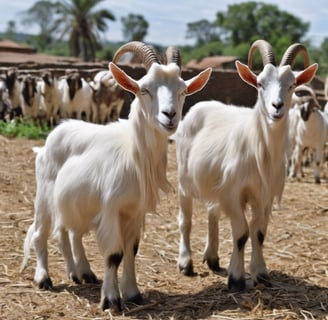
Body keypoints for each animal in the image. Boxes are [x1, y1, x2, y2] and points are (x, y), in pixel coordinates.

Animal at [20, 40, 211, 312]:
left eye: (183, 90)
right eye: (144, 90)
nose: (170, 115)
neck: (133, 154)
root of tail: (51, 138)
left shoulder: (134, 212)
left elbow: (131, 250)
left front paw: (132, 293)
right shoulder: (110, 209)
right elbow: (114, 254)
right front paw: (111, 299)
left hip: (73, 202)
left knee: (67, 233)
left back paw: (81, 273)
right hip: (45, 196)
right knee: (39, 233)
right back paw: (44, 278)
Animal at [176, 39, 316, 290]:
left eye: (291, 85)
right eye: (260, 83)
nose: (277, 106)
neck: (260, 150)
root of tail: (199, 106)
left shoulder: (265, 196)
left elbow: (258, 233)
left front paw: (261, 273)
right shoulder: (233, 194)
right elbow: (241, 233)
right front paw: (236, 278)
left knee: (212, 213)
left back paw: (212, 258)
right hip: (184, 180)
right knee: (186, 220)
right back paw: (186, 263)